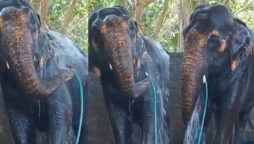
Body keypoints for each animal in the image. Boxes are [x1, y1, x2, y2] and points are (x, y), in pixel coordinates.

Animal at [89, 6, 171, 144]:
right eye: (96, 30)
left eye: (130, 27)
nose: (147, 78)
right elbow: (119, 118)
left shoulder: (148, 66)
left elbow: (152, 113)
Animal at [182, 3, 254, 144]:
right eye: (184, 35)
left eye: (215, 40)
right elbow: (205, 111)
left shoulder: (240, 72)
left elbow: (227, 116)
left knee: (241, 117)